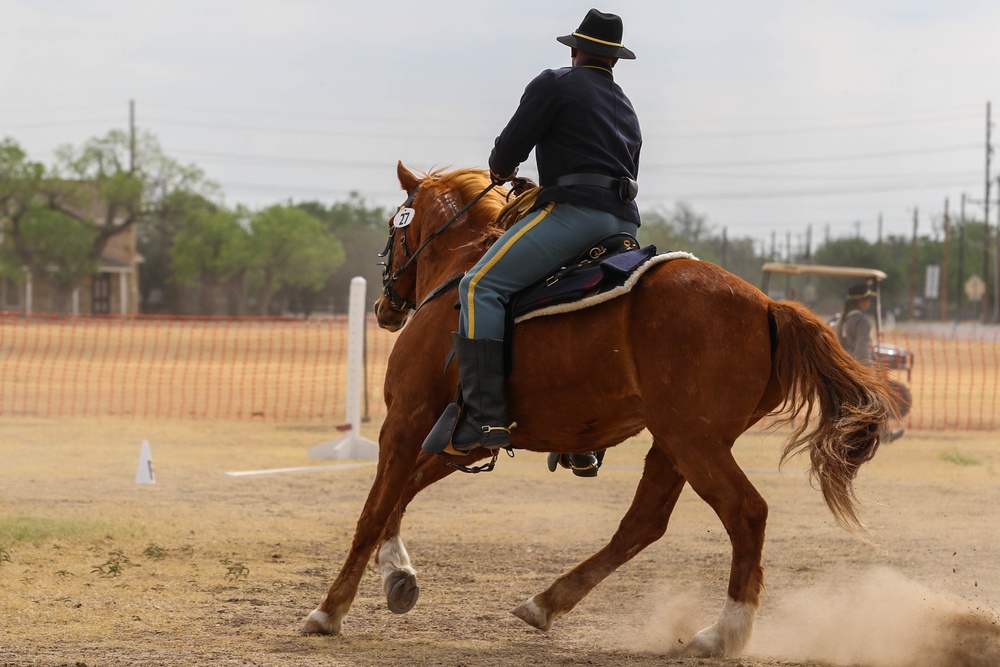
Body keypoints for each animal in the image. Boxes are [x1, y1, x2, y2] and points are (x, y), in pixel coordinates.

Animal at [300, 163, 896, 656]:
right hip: (676, 443)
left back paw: (723, 633)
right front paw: (397, 574)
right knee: (643, 524)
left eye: (393, 229)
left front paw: (330, 611)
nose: (385, 306)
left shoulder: (406, 418)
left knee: (745, 513)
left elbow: (375, 508)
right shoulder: (462, 438)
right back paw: (546, 603)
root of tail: (769, 305)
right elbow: (404, 493)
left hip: (694, 442)